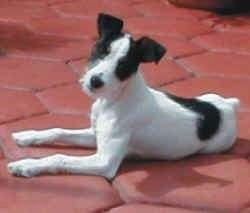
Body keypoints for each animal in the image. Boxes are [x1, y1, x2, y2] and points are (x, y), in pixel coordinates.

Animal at [7, 13, 240, 179]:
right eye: (100, 50)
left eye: (124, 65)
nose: (95, 81)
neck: (113, 101)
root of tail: (228, 105)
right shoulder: (94, 134)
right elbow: (58, 131)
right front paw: (29, 136)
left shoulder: (104, 162)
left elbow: (60, 158)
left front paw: (26, 165)